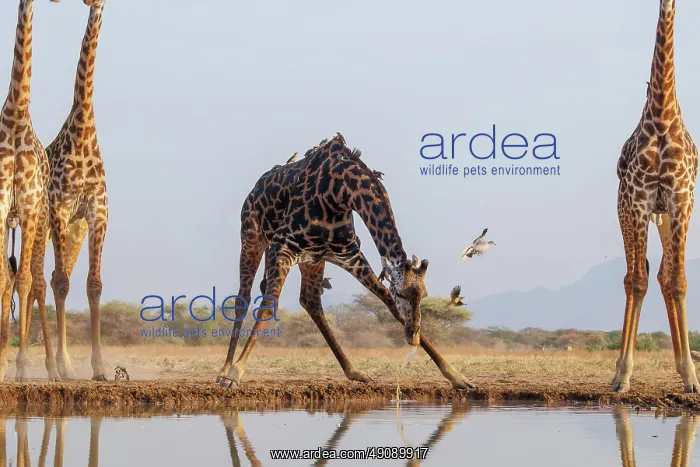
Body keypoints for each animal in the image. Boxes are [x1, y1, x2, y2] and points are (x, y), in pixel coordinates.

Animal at [217, 132, 474, 390]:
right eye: (402, 294)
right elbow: (269, 305)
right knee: (242, 298)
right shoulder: (282, 246)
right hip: (252, 237)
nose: (413, 336)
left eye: (424, 295)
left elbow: (386, 299)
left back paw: (354, 371)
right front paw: (235, 373)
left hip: (312, 260)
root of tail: (256, 186)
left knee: (311, 301)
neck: (339, 193)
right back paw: (224, 370)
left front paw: (457, 376)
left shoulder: (349, 254)